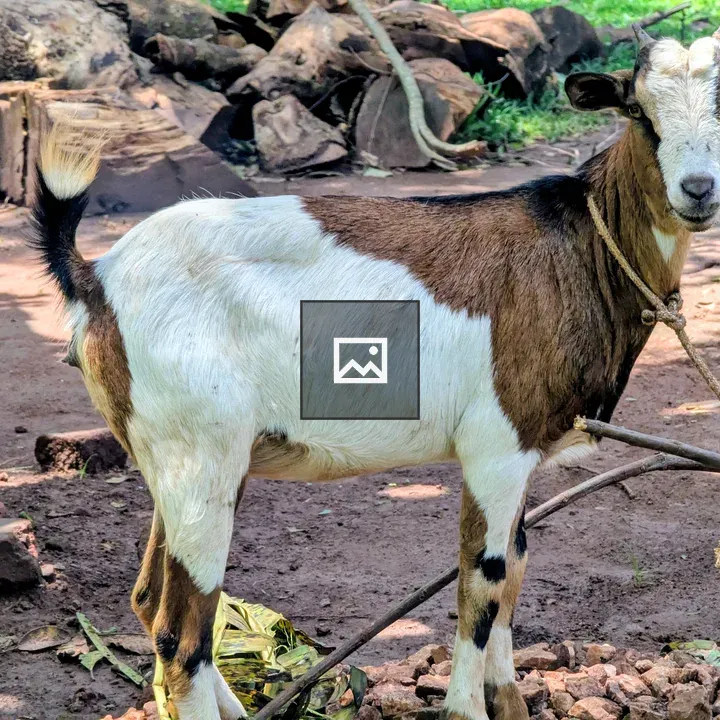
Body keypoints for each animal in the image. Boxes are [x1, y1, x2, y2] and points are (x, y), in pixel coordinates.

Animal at [31, 29, 720, 720]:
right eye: (640, 113)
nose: (698, 189)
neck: (580, 248)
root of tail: (97, 278)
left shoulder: (522, 452)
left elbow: (516, 569)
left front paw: (508, 701)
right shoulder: (496, 445)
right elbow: (484, 580)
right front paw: (466, 708)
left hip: (177, 459)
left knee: (149, 600)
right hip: (198, 457)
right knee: (182, 635)